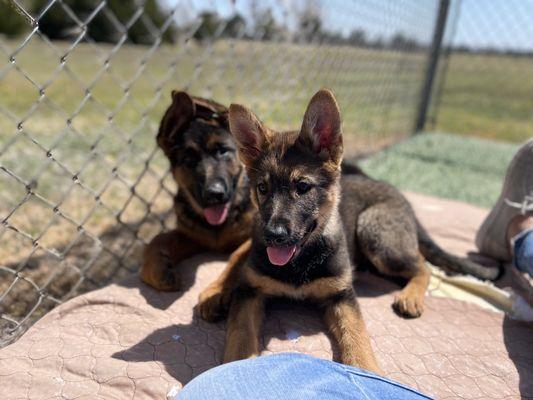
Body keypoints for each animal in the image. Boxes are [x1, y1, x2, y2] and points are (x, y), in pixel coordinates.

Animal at [139, 90, 256, 290]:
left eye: (222, 151)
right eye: (189, 160)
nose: (214, 195)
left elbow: (238, 255)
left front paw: (219, 288)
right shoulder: (192, 237)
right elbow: (158, 239)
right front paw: (155, 271)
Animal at [196, 89, 498, 370]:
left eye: (303, 187)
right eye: (262, 188)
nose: (273, 236)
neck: (300, 261)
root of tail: (401, 197)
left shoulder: (342, 296)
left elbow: (356, 336)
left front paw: (368, 371)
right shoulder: (250, 291)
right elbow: (241, 334)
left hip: (376, 235)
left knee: (423, 265)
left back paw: (410, 296)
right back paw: (215, 293)